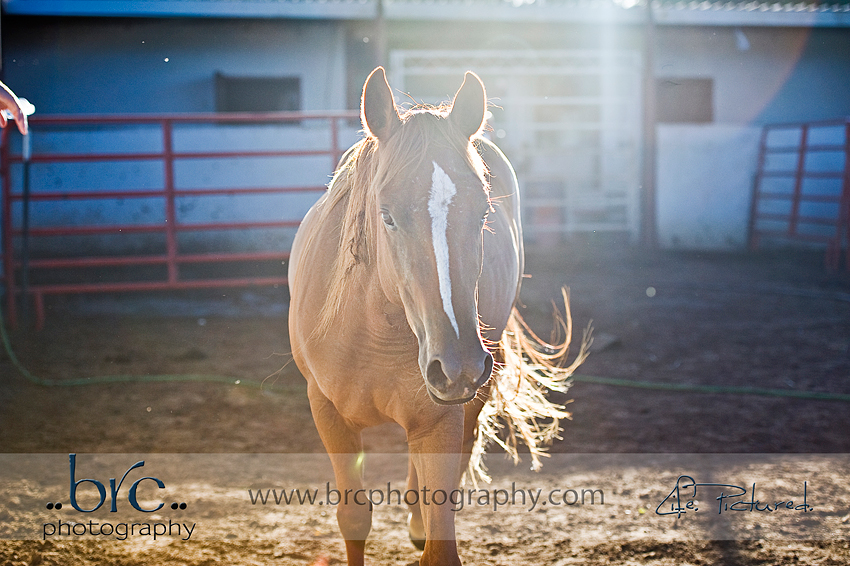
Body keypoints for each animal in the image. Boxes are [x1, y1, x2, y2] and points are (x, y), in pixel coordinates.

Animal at [288, 67, 588, 566]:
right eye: (387, 215)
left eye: (484, 212)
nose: (458, 365)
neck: (370, 331)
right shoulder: (327, 412)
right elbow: (354, 519)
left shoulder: (438, 420)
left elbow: (440, 540)